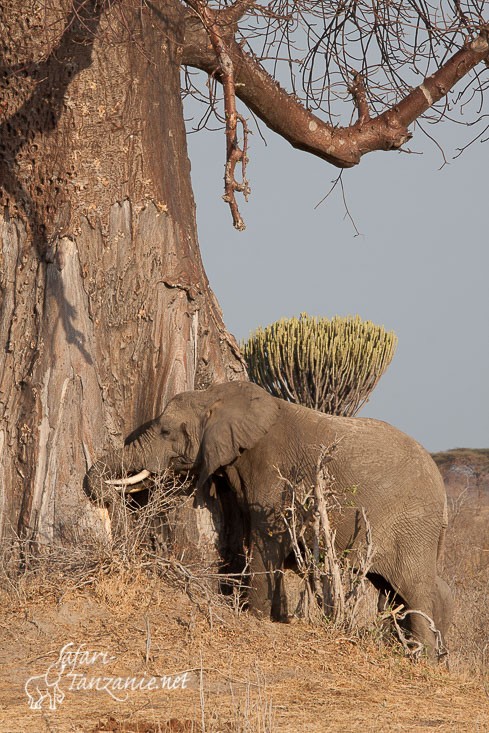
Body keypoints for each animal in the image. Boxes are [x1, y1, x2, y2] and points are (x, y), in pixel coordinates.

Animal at [86, 378, 452, 652]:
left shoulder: (274, 473)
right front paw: (271, 615)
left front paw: (258, 617)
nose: (102, 498)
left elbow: (266, 539)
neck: (219, 396)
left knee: (414, 590)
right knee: (392, 593)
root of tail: (442, 493)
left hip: (414, 524)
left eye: (166, 432)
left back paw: (421, 659)